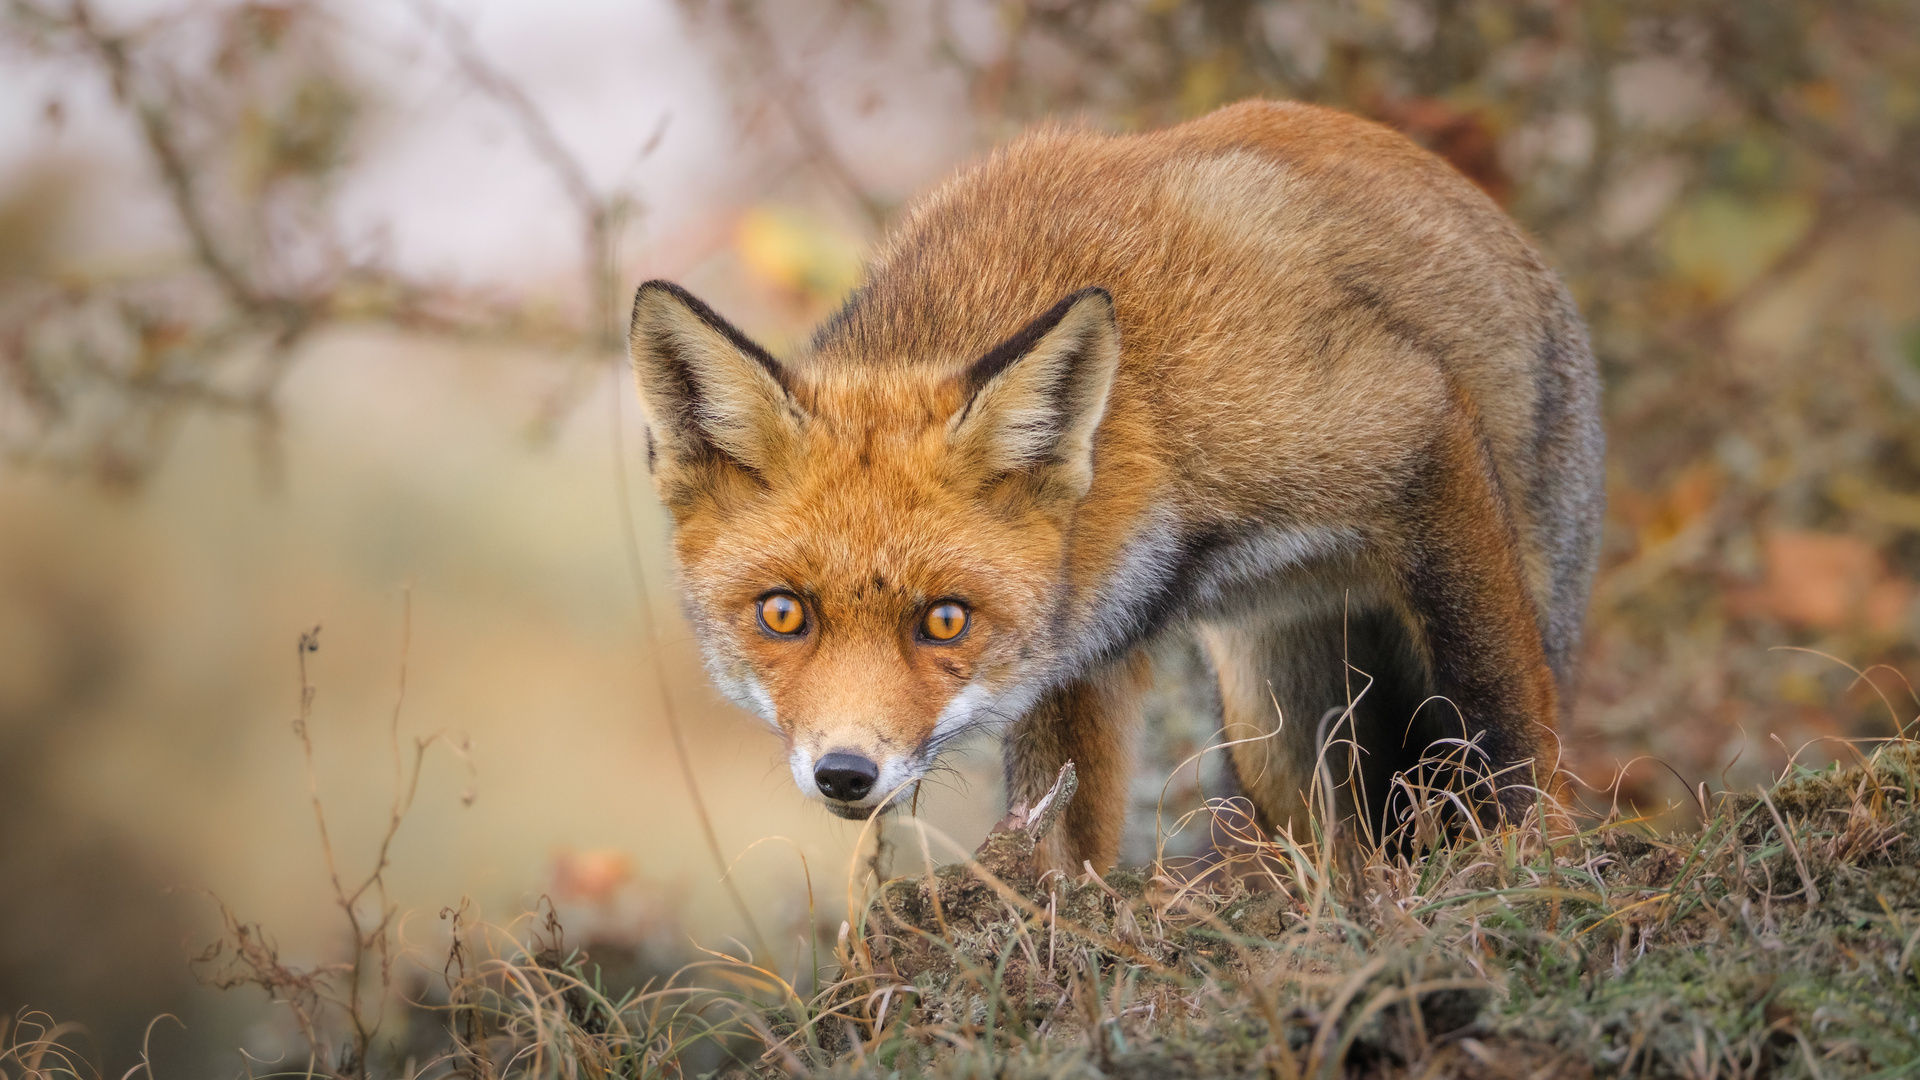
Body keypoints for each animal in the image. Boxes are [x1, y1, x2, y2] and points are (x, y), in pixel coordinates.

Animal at [629, 100, 1605, 868]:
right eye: (782, 613)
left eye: (943, 620)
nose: (844, 773)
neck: (1151, 416)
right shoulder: (1079, 651)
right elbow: (1060, 843)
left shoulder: (1409, 427)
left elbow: (1502, 713)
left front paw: (1531, 857)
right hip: (1278, 722)